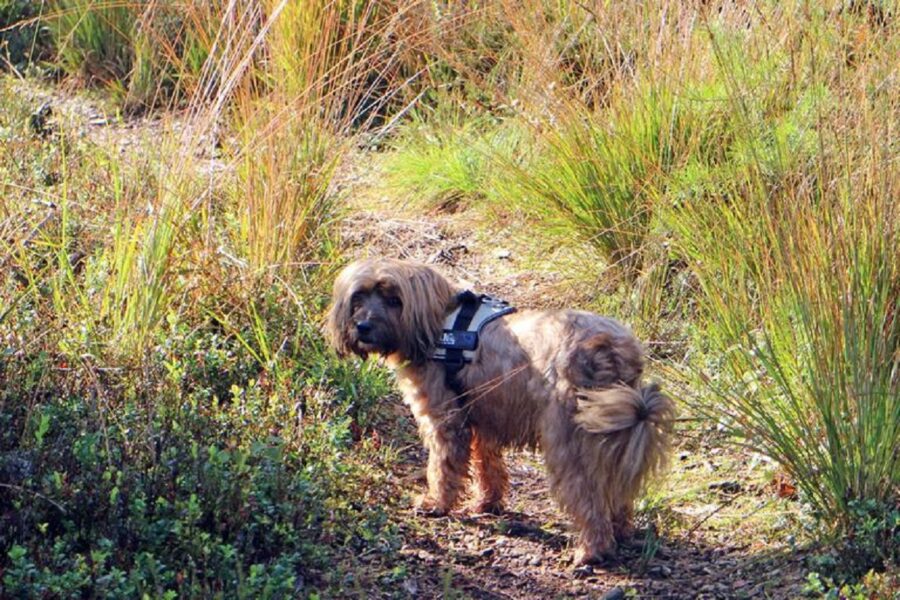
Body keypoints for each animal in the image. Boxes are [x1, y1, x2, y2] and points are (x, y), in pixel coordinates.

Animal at [326, 256, 672, 564]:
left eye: (394, 299)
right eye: (359, 297)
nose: (363, 327)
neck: (441, 325)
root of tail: (611, 348)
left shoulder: (445, 421)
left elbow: (443, 468)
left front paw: (437, 503)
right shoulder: (484, 422)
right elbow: (488, 467)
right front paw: (486, 502)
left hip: (568, 441)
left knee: (588, 497)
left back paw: (591, 550)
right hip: (612, 433)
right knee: (617, 492)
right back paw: (620, 529)